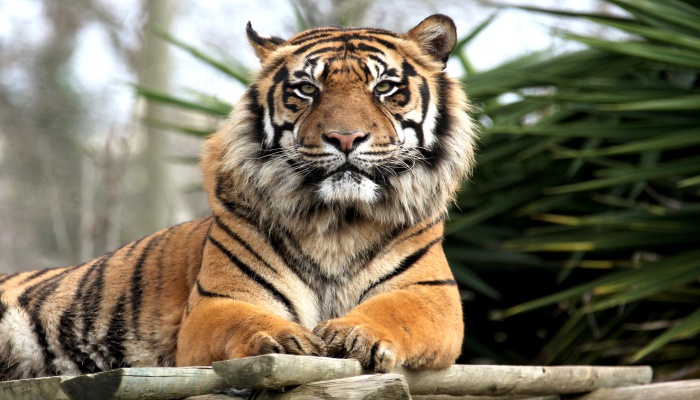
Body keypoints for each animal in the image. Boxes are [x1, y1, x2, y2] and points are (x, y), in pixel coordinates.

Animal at [0, 14, 475, 381]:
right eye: (306, 89)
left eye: (384, 88)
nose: (344, 137)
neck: (338, 221)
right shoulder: (219, 302)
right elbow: (246, 321)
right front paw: (284, 339)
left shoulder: (431, 294)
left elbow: (395, 312)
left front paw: (354, 334)